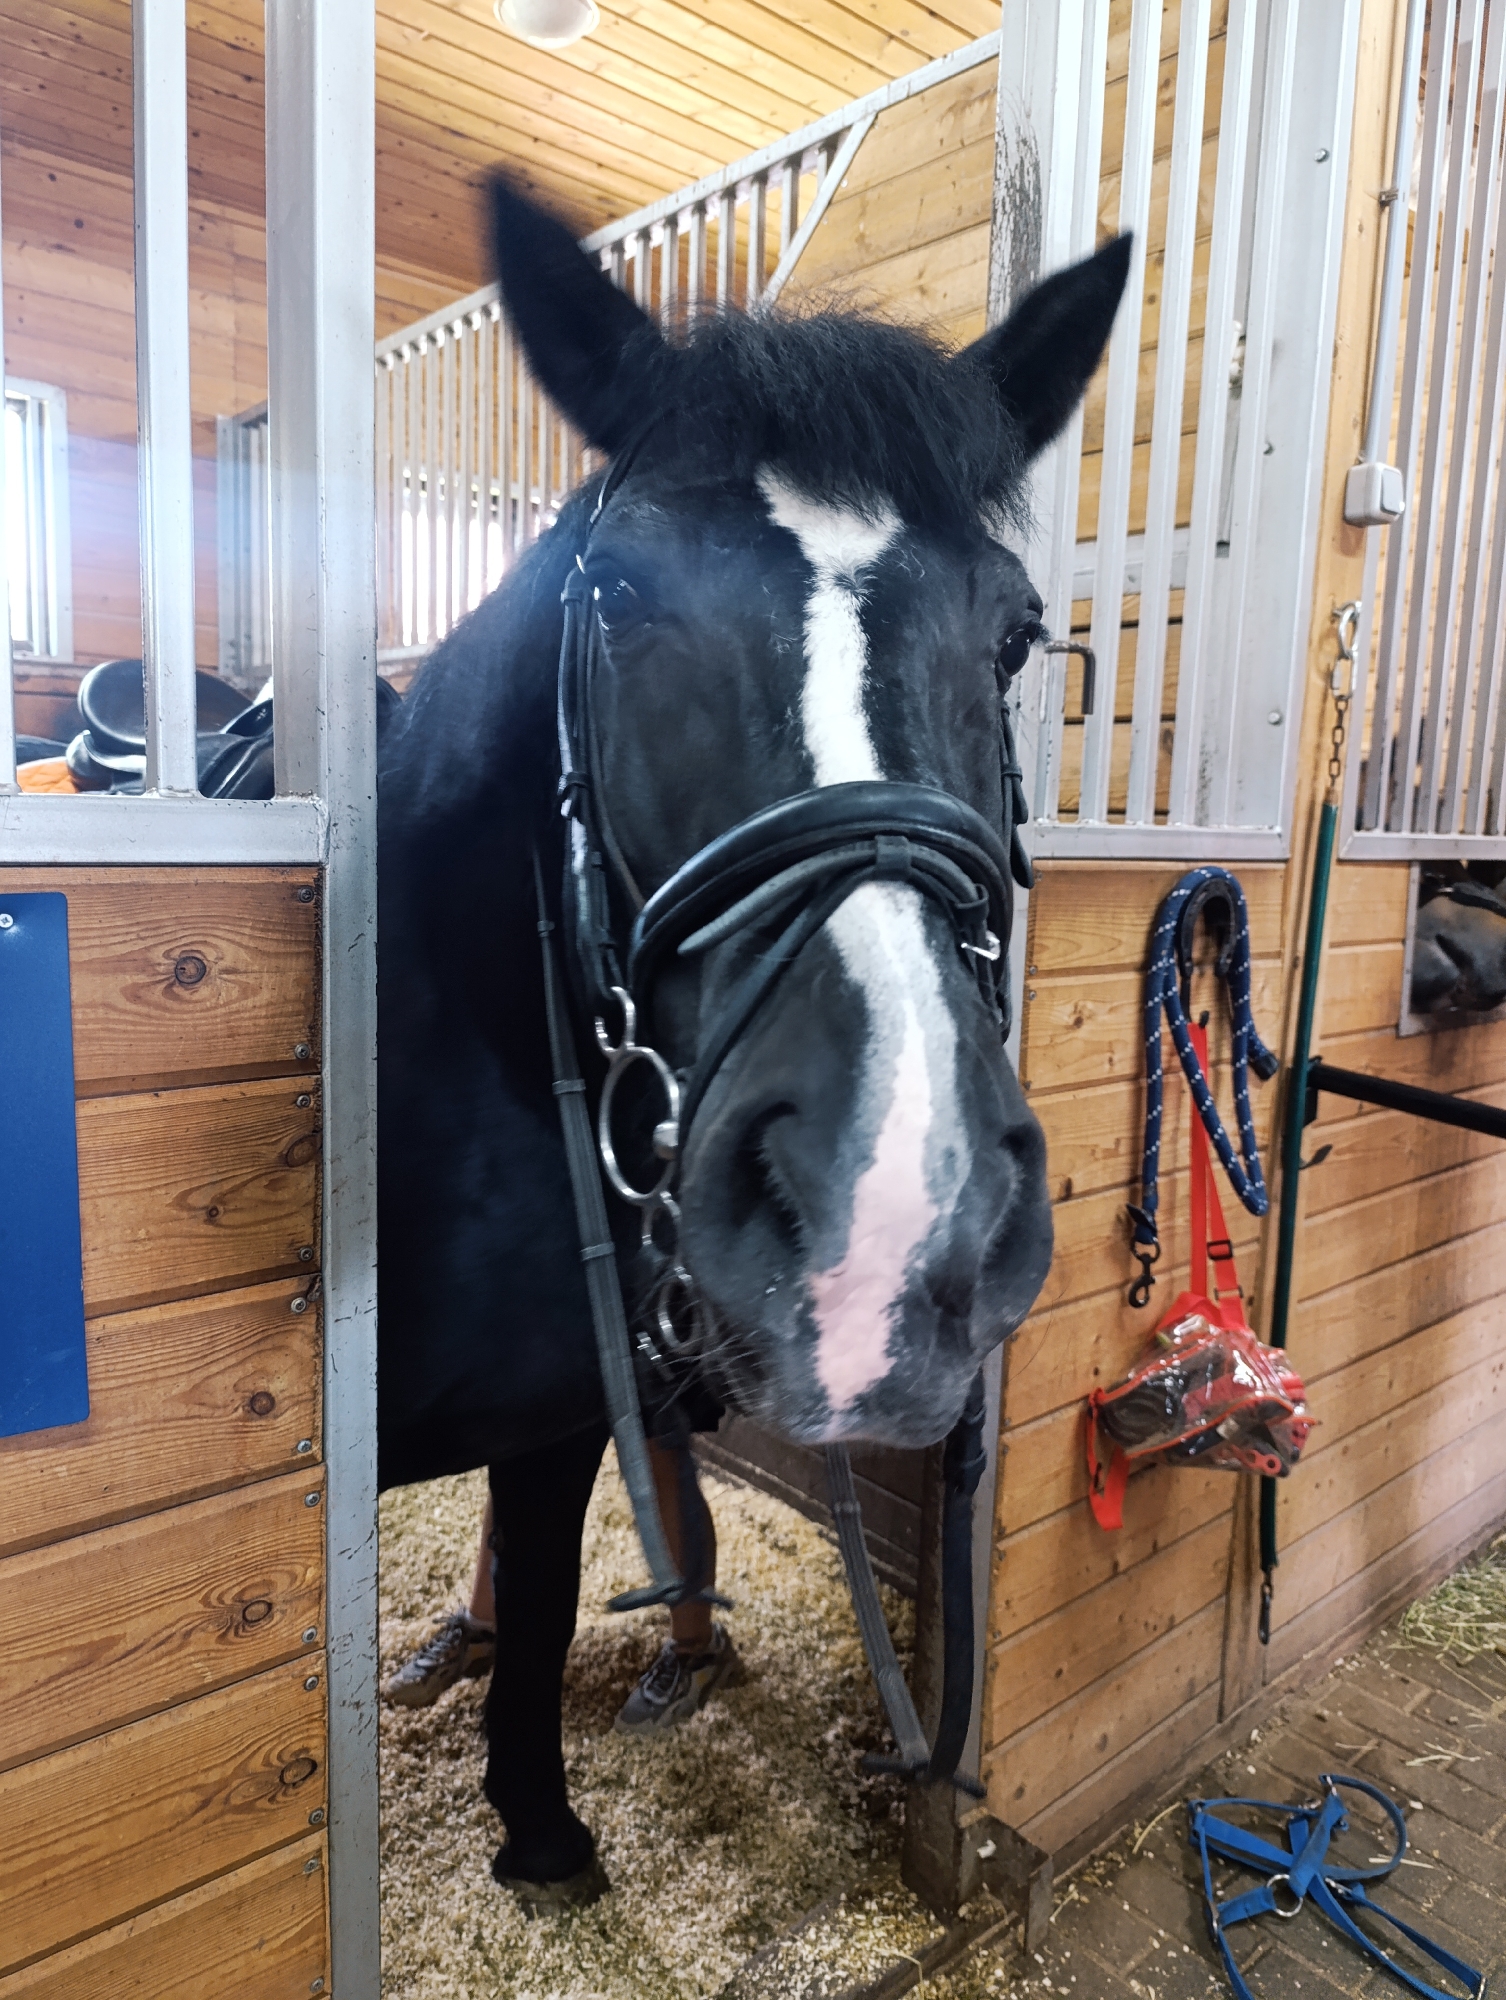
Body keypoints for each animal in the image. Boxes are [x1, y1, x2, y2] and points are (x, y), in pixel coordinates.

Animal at [375, 173, 1130, 1899]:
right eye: (617, 600)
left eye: (1011, 636)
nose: (890, 1202)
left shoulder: (553, 1415)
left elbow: (546, 1601)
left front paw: (540, 1830)